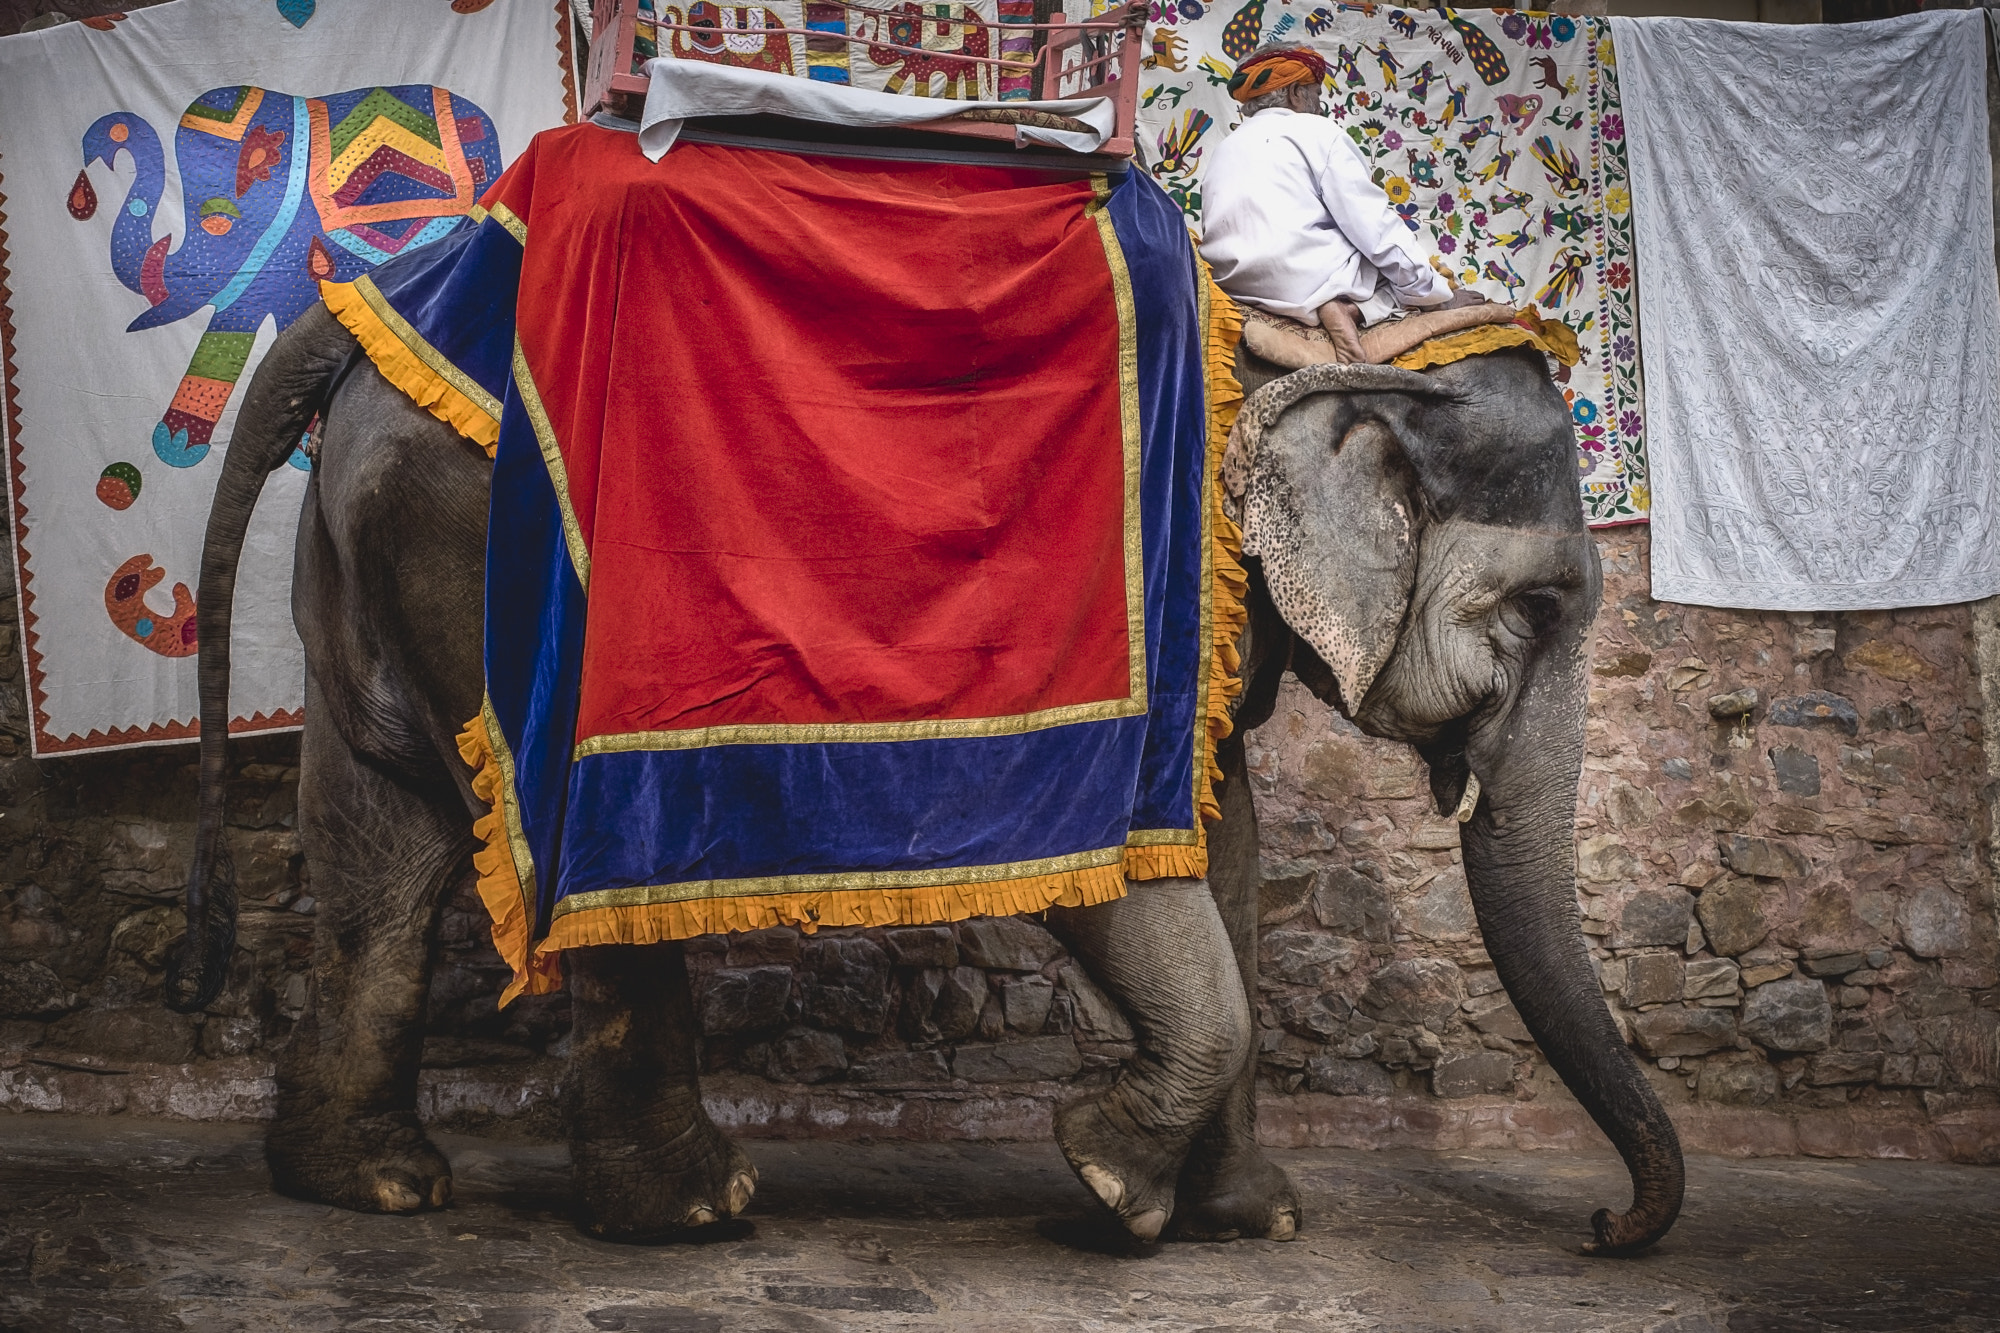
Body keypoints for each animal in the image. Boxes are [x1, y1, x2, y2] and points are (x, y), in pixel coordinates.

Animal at [71, 83, 500, 478]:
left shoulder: (289, 246)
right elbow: (239, 322)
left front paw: (179, 444)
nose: (102, 150)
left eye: (217, 222)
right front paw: (181, 443)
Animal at [167, 291, 1680, 1255]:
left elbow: (1221, 829)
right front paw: (1109, 1180)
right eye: (1538, 611)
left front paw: (1249, 1219)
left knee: (381, 844)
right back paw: (691, 1213)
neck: (1307, 344)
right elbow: (1107, 847)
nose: (1603, 1227)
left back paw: (369, 1186)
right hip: (500, 547)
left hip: (377, 540)